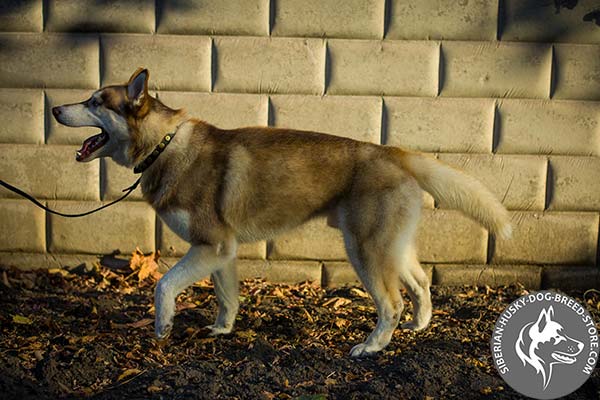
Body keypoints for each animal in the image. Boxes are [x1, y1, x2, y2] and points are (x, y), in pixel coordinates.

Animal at [52, 68, 510, 356]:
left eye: (95, 101)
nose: (55, 109)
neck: (164, 145)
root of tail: (392, 151)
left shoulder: (210, 246)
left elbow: (164, 285)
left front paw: (163, 327)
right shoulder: (221, 252)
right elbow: (227, 298)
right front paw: (222, 330)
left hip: (364, 250)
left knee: (391, 302)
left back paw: (372, 346)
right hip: (391, 247)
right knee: (421, 282)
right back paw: (418, 326)